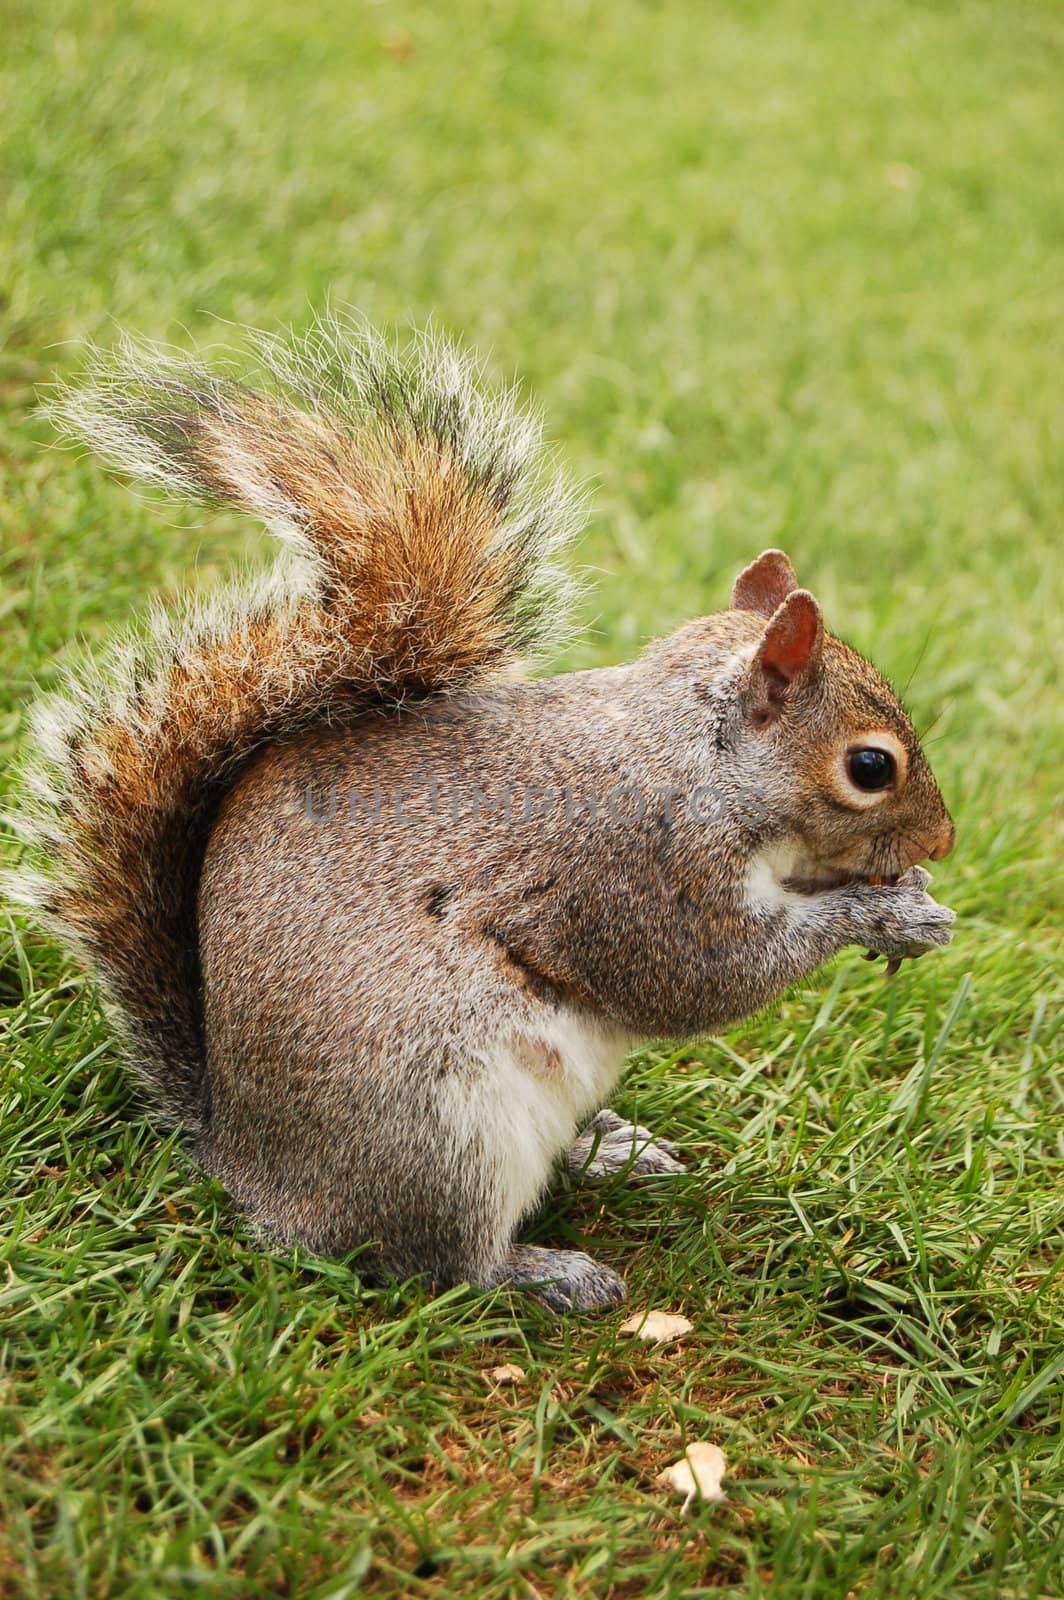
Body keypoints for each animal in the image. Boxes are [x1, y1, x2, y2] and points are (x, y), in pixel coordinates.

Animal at [8, 315, 953, 1312]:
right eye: (869, 767)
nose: (946, 836)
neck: (699, 756)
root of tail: (241, 1162)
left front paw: (912, 898)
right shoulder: (639, 864)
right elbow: (703, 977)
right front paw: (881, 914)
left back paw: (606, 1149)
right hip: (443, 1129)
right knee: (438, 1265)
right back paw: (542, 1271)